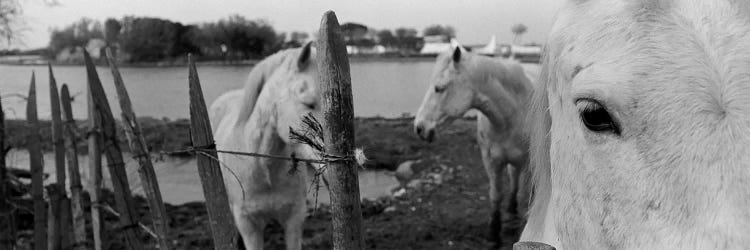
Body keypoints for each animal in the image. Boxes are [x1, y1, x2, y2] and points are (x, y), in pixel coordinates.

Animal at [412, 42, 540, 247]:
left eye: (439, 88)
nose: (419, 128)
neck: (512, 114)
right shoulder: (491, 160)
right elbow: (496, 194)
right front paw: (493, 235)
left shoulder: (529, 163)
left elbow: (528, 196)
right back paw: (511, 209)